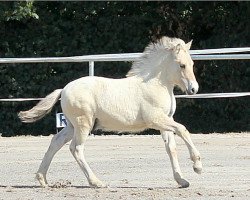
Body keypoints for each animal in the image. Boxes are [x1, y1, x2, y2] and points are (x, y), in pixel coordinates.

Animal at [18, 36, 202, 188]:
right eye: (182, 65)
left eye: (192, 64)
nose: (194, 89)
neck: (155, 84)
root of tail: (63, 89)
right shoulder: (156, 119)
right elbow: (183, 129)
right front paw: (197, 166)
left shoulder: (165, 121)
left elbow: (171, 148)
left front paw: (182, 180)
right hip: (83, 124)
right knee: (76, 148)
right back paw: (96, 182)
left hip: (71, 126)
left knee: (56, 142)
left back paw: (42, 179)